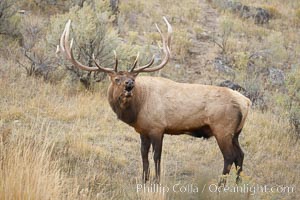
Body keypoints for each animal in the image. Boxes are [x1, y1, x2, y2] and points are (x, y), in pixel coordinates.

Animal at [58, 17, 251, 184]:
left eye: (133, 78)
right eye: (117, 79)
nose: (129, 85)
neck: (137, 110)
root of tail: (247, 103)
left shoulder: (158, 127)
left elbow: (157, 156)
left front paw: (157, 181)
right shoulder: (143, 130)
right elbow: (144, 155)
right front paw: (144, 179)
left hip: (222, 128)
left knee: (229, 157)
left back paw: (221, 186)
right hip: (236, 132)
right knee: (240, 155)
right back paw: (238, 184)